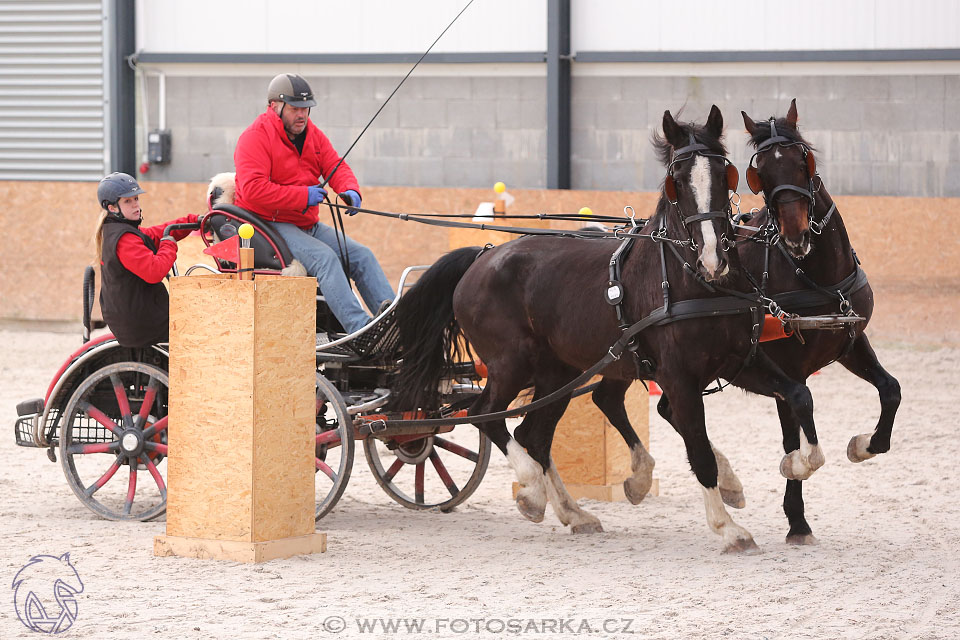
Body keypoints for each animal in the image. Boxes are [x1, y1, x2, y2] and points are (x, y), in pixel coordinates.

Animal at [390, 107, 816, 552]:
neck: (697, 283)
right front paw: (728, 528)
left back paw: (574, 513)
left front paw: (797, 463)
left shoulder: (739, 362)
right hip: (510, 364)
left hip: (557, 373)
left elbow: (798, 394)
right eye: (678, 181)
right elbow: (698, 451)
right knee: (485, 415)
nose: (714, 258)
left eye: (725, 173)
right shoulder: (679, 379)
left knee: (534, 436)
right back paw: (531, 491)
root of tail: (481, 257)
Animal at [652, 101, 900, 544]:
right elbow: (793, 433)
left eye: (803, 162)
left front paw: (863, 445)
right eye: (761, 173)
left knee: (670, 409)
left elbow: (890, 390)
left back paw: (728, 483)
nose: (796, 232)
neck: (813, 274)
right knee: (675, 411)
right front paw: (797, 516)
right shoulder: (788, 367)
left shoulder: (851, 342)